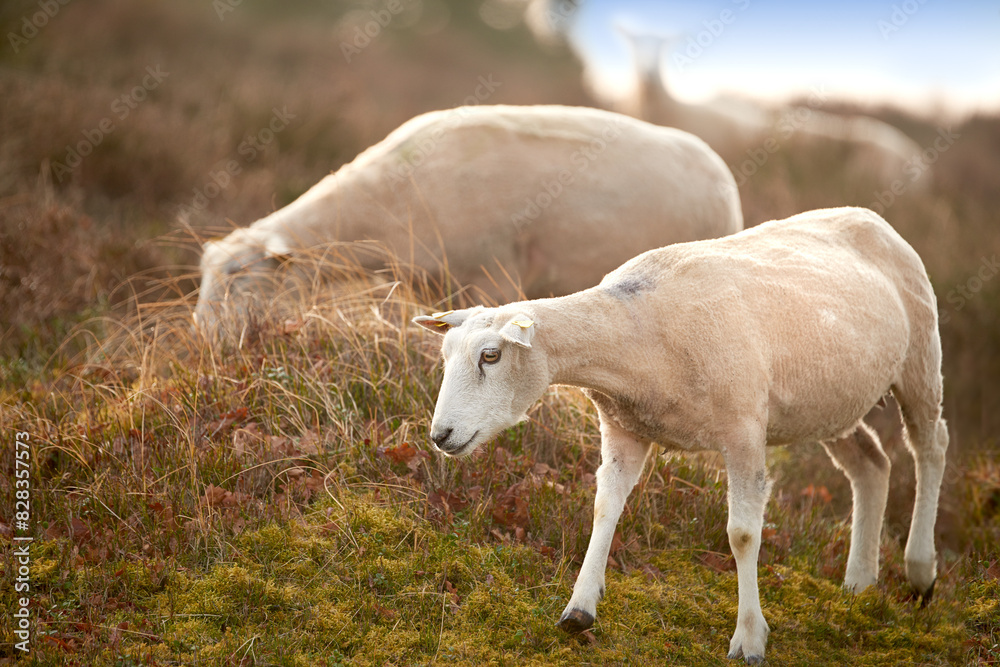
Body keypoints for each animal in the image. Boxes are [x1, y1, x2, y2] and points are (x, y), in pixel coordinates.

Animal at [413, 206, 948, 663]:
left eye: (491, 355)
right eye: (445, 354)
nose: (440, 435)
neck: (633, 334)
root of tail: (870, 216)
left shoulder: (743, 429)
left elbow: (742, 534)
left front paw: (749, 638)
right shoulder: (624, 428)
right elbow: (604, 508)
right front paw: (579, 609)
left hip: (920, 357)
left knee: (930, 446)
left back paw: (921, 570)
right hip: (828, 402)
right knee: (872, 464)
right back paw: (859, 583)